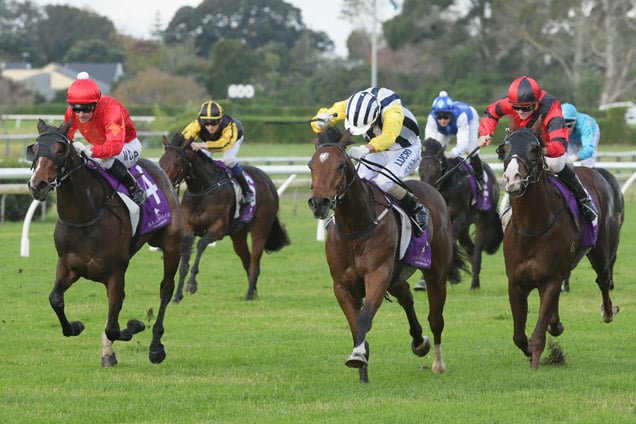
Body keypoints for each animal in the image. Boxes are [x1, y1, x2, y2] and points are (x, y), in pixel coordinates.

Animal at [27, 117, 184, 366]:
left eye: (60, 150)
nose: (38, 185)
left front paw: (134, 325)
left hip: (171, 245)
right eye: (34, 148)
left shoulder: (115, 273)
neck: (84, 217)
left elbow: (113, 327)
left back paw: (156, 346)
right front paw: (76, 326)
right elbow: (55, 299)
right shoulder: (69, 265)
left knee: (166, 290)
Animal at [158, 132, 290, 302]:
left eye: (176, 163)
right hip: (238, 235)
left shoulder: (218, 229)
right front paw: (177, 295)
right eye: (161, 161)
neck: (202, 191)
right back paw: (253, 293)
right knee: (247, 261)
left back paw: (249, 295)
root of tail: (269, 182)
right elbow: (185, 258)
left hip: (261, 228)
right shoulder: (188, 229)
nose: (164, 182)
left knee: (255, 262)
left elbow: (201, 245)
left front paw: (192, 284)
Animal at [306, 127, 464, 382]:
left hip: (435, 272)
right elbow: (354, 323)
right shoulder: (342, 285)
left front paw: (358, 355)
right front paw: (362, 367)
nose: (319, 202)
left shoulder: (378, 274)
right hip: (397, 276)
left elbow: (364, 317)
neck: (355, 227)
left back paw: (438, 363)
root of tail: (433, 189)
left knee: (436, 318)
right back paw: (419, 342)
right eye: (311, 165)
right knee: (406, 296)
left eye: (340, 166)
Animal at [420, 137, 504, 290]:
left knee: (477, 250)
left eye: (436, 168)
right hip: (464, 231)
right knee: (470, 248)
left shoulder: (461, 219)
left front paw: (452, 272)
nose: (427, 190)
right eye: (420, 168)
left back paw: (474, 284)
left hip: (482, 219)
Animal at [496, 127, 620, 370]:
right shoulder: (515, 282)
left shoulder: (551, 278)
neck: (531, 227)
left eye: (534, 150)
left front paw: (535, 362)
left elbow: (537, 333)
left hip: (601, 250)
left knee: (603, 278)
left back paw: (608, 312)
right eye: (503, 149)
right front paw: (530, 350)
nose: (512, 178)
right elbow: (518, 336)